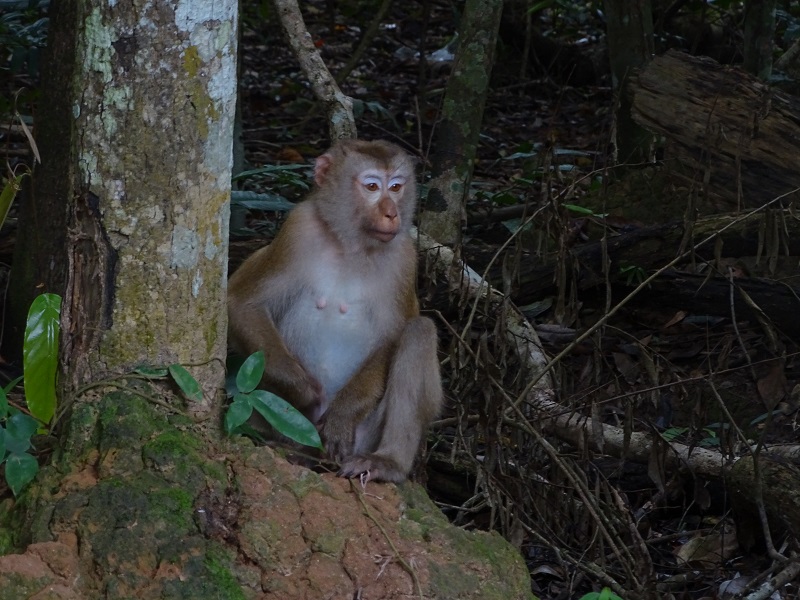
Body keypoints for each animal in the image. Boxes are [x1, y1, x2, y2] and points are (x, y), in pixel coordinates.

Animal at [227, 139, 442, 483]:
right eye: (372, 187)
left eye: (396, 187)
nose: (391, 213)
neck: (350, 245)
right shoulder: (296, 229)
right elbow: (244, 303)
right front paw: (303, 393)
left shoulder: (405, 258)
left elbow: (393, 336)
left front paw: (341, 416)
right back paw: (282, 445)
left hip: (365, 435)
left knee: (419, 331)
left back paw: (387, 462)